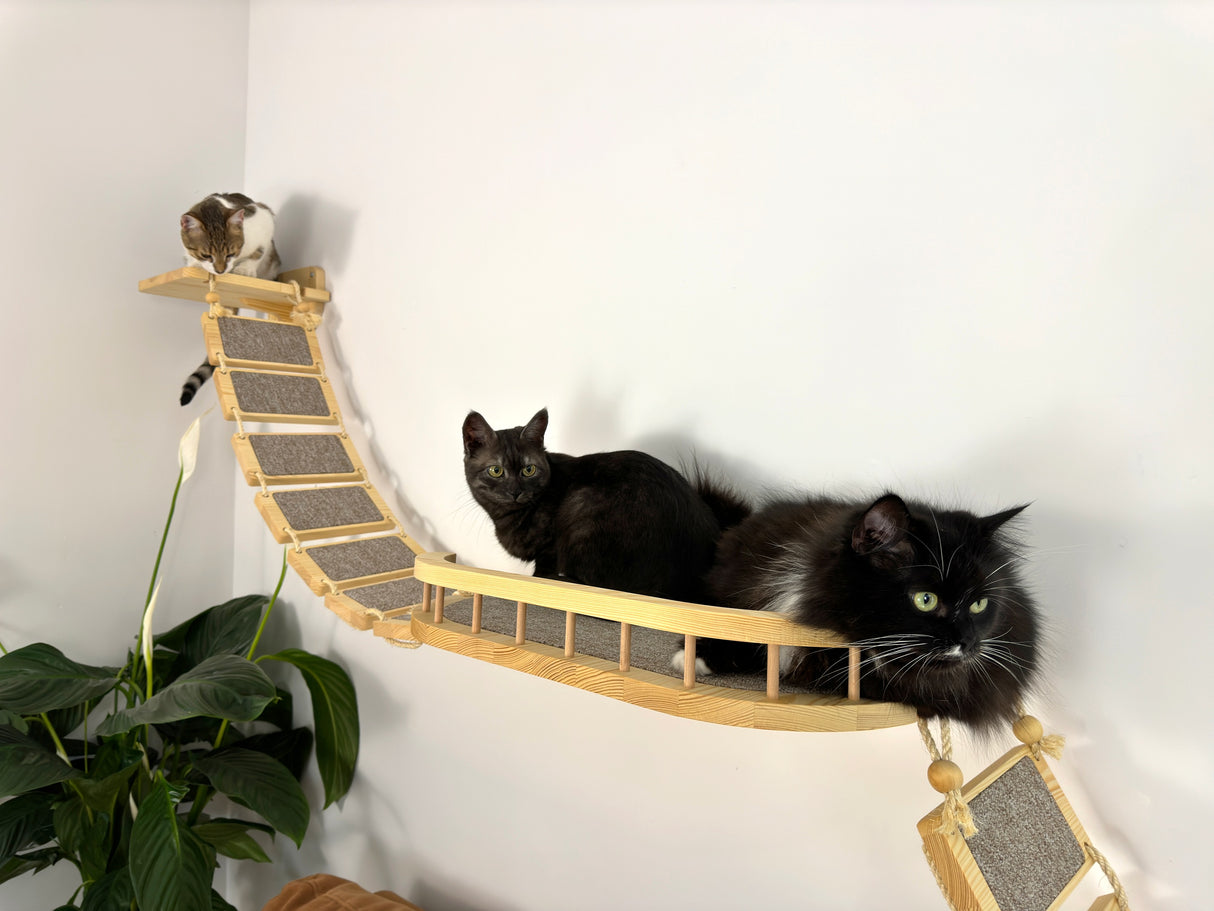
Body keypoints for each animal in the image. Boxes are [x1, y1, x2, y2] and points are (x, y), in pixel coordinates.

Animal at [177, 194, 279, 405]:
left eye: (231, 253)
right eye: (206, 255)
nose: (220, 270)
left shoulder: (264, 220)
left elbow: (258, 252)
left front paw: (245, 268)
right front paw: (194, 264)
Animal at [458, 410, 742, 602]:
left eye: (529, 470)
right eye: (496, 471)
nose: (516, 491)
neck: (508, 516)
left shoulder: (551, 548)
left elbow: (545, 569)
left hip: (581, 504)